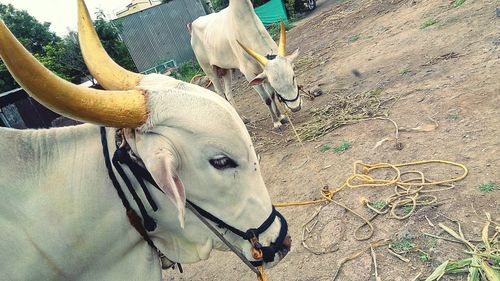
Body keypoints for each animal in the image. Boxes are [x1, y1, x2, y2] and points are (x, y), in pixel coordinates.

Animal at [190, 0, 300, 131]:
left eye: (293, 77)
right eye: (275, 84)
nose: (295, 107)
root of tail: (192, 26)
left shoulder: (263, 74)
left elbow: (272, 95)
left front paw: (281, 117)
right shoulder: (249, 75)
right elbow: (267, 99)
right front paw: (276, 122)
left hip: (226, 71)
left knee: (228, 93)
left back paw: (242, 119)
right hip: (209, 70)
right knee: (220, 93)